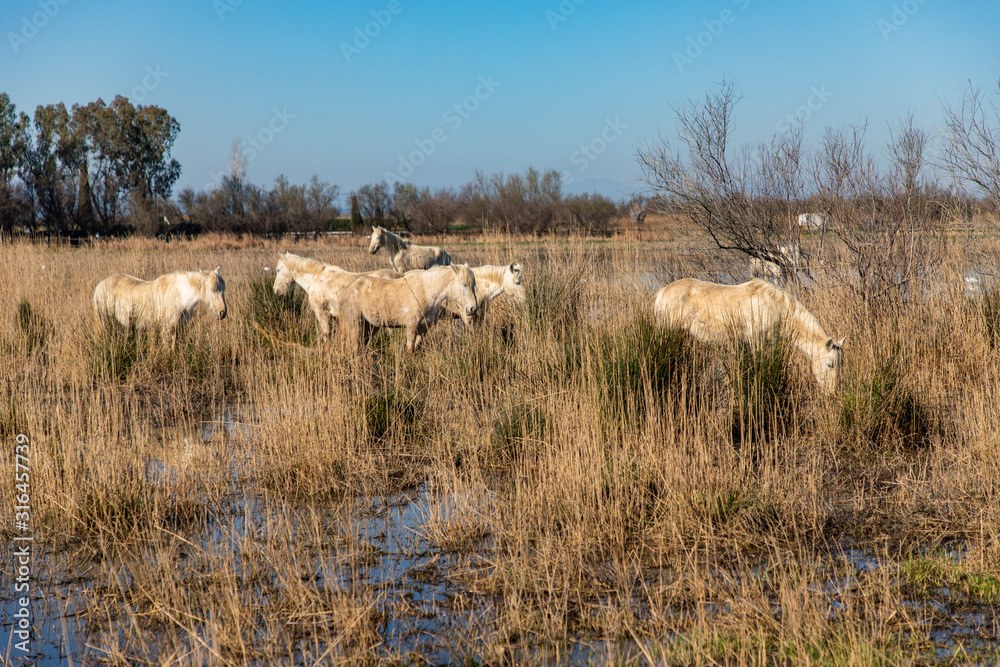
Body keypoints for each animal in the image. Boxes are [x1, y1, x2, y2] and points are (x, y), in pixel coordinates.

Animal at [93, 267, 227, 347]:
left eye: (223, 289)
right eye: (211, 290)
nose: (222, 313)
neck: (179, 296)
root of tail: (99, 286)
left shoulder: (179, 328)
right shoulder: (167, 329)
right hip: (105, 320)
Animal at [338, 264, 478, 352]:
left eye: (473, 285)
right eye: (464, 285)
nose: (473, 309)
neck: (425, 291)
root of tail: (346, 290)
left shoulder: (423, 328)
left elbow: (416, 348)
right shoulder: (411, 326)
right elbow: (410, 349)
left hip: (370, 326)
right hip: (355, 324)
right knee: (353, 346)